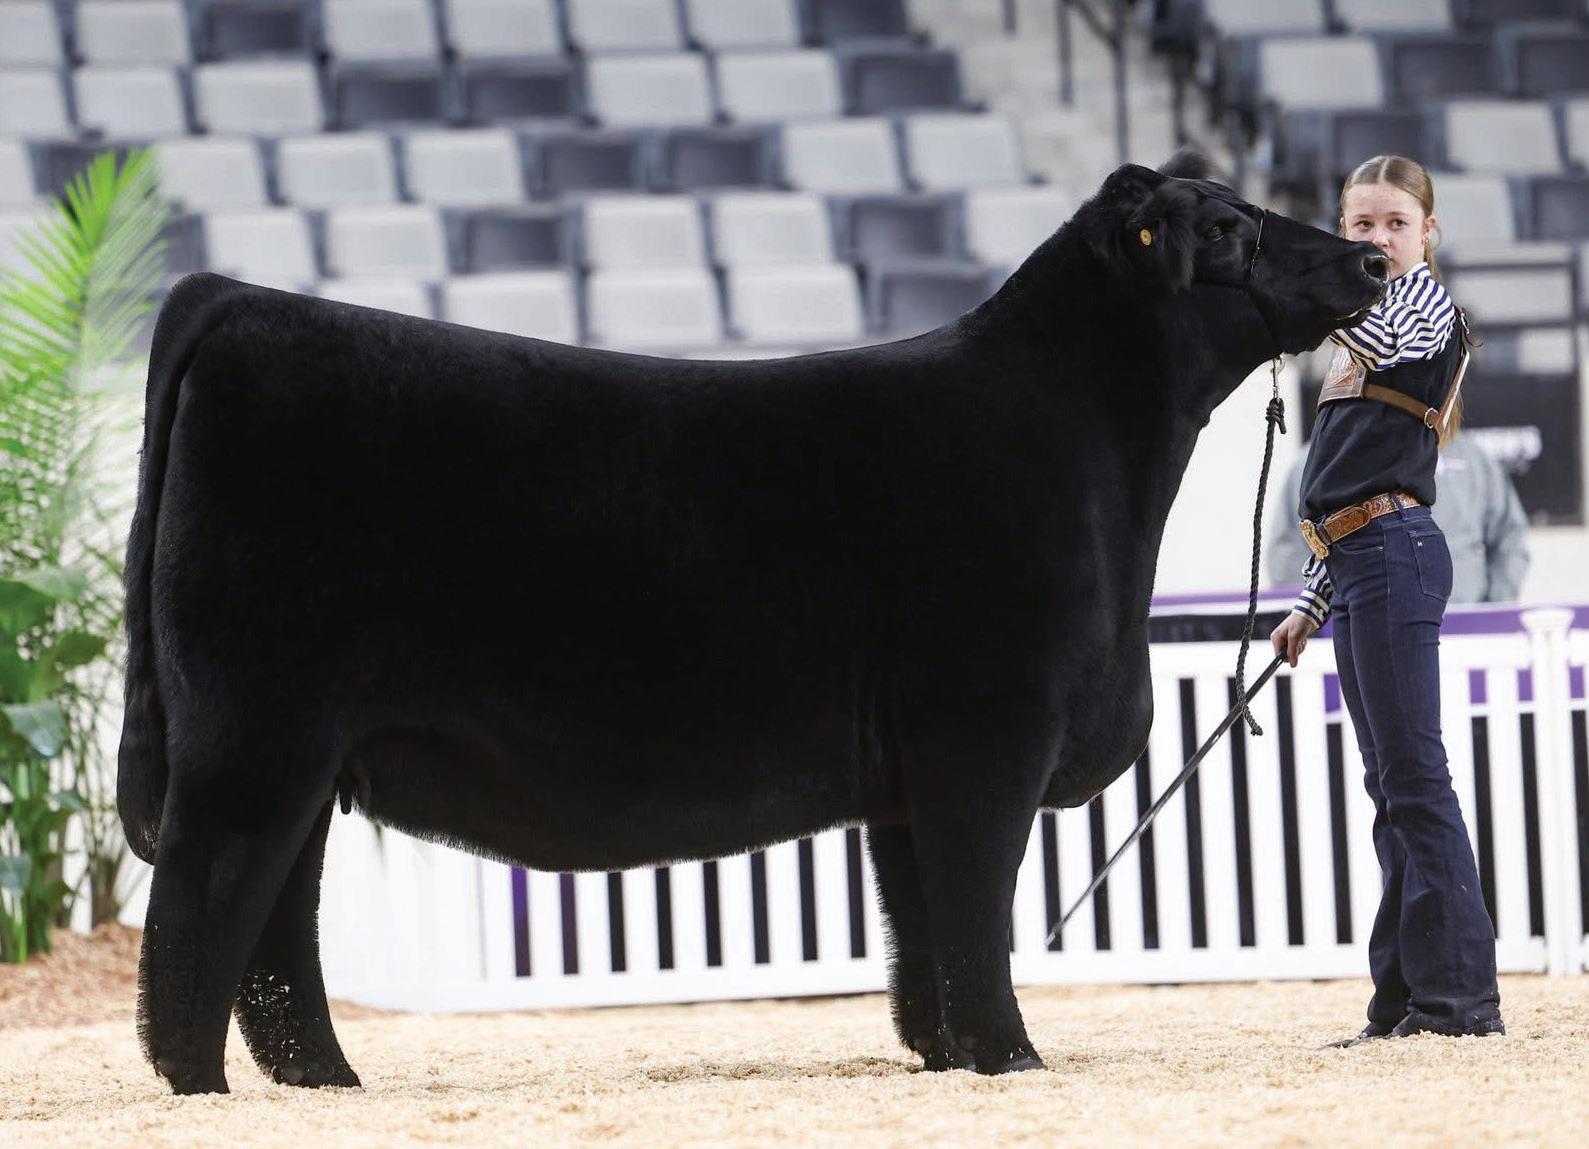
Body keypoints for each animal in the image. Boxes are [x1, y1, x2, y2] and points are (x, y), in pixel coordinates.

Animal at [117, 152, 1387, 1094]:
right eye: (1221, 228)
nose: (1370, 255)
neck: (1087, 454)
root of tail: (240, 300)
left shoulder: (907, 779)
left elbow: (923, 932)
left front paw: (950, 1058)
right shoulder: (984, 736)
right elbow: (977, 908)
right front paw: (1013, 1057)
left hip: (305, 750)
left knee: (275, 928)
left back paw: (324, 1083)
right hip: (253, 733)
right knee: (200, 909)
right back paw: (199, 1090)